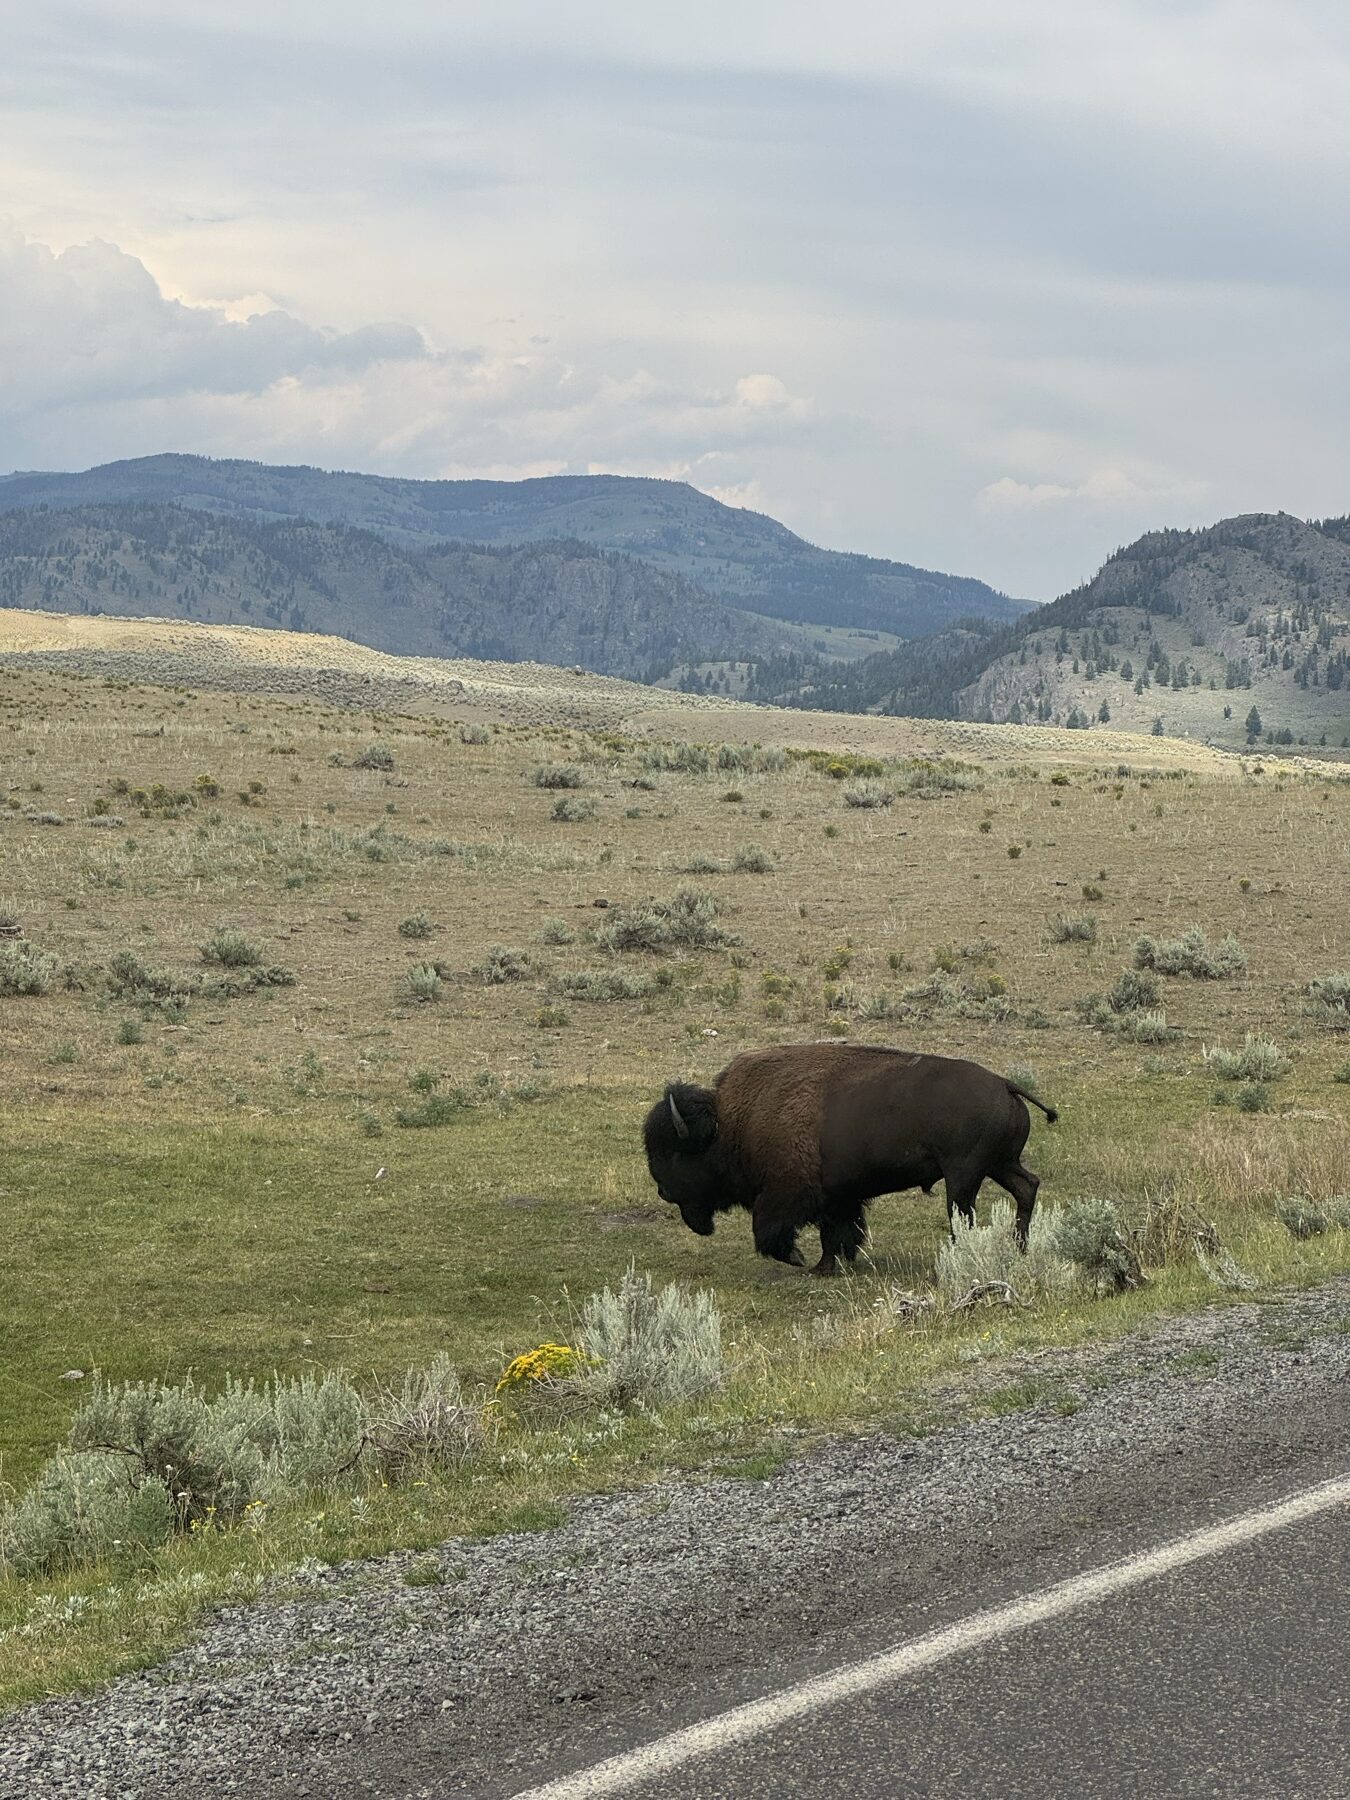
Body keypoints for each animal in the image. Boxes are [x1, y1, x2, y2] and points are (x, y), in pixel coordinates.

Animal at [643, 1042, 1057, 1274]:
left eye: (676, 1154)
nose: (663, 1190)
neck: (732, 1123)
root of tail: (1005, 1084)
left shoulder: (788, 1194)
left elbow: (772, 1230)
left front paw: (799, 1259)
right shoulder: (839, 1196)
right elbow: (837, 1233)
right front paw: (827, 1267)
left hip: (964, 1175)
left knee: (964, 1214)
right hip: (1000, 1165)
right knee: (1026, 1187)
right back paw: (1019, 1247)